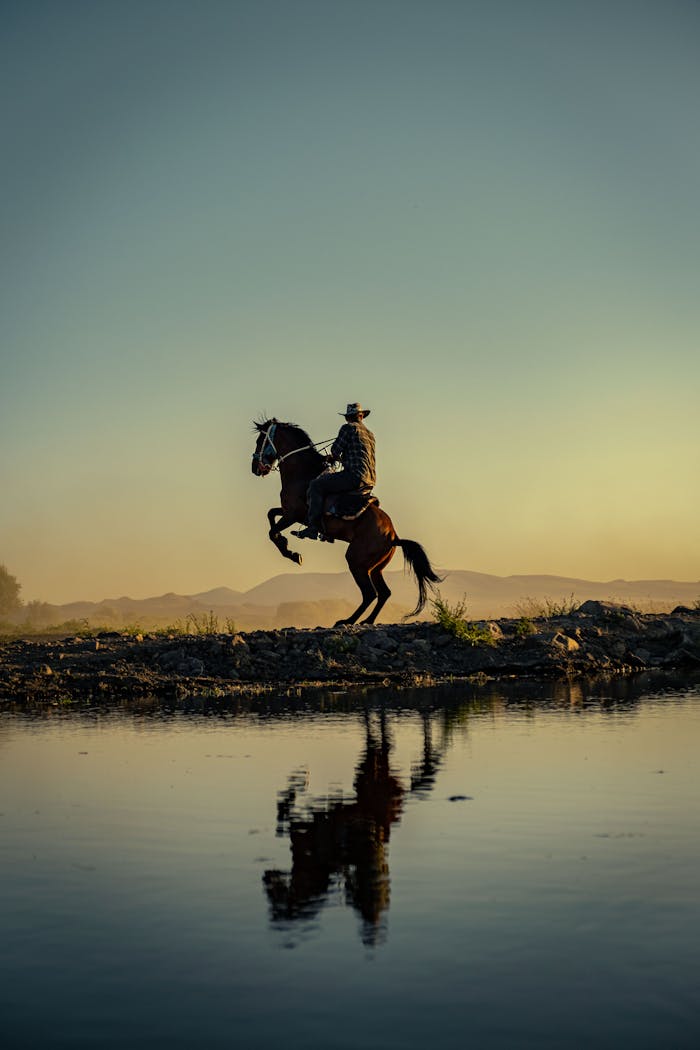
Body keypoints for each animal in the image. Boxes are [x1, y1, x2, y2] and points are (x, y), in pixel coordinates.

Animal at [251, 418, 442, 626]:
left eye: (260, 440)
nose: (255, 467)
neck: (303, 473)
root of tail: (393, 536)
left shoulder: (293, 514)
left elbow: (272, 531)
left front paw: (292, 554)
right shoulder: (288, 512)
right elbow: (270, 515)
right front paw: (288, 547)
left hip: (357, 562)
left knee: (370, 593)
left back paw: (347, 620)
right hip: (375, 568)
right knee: (383, 593)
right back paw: (367, 621)